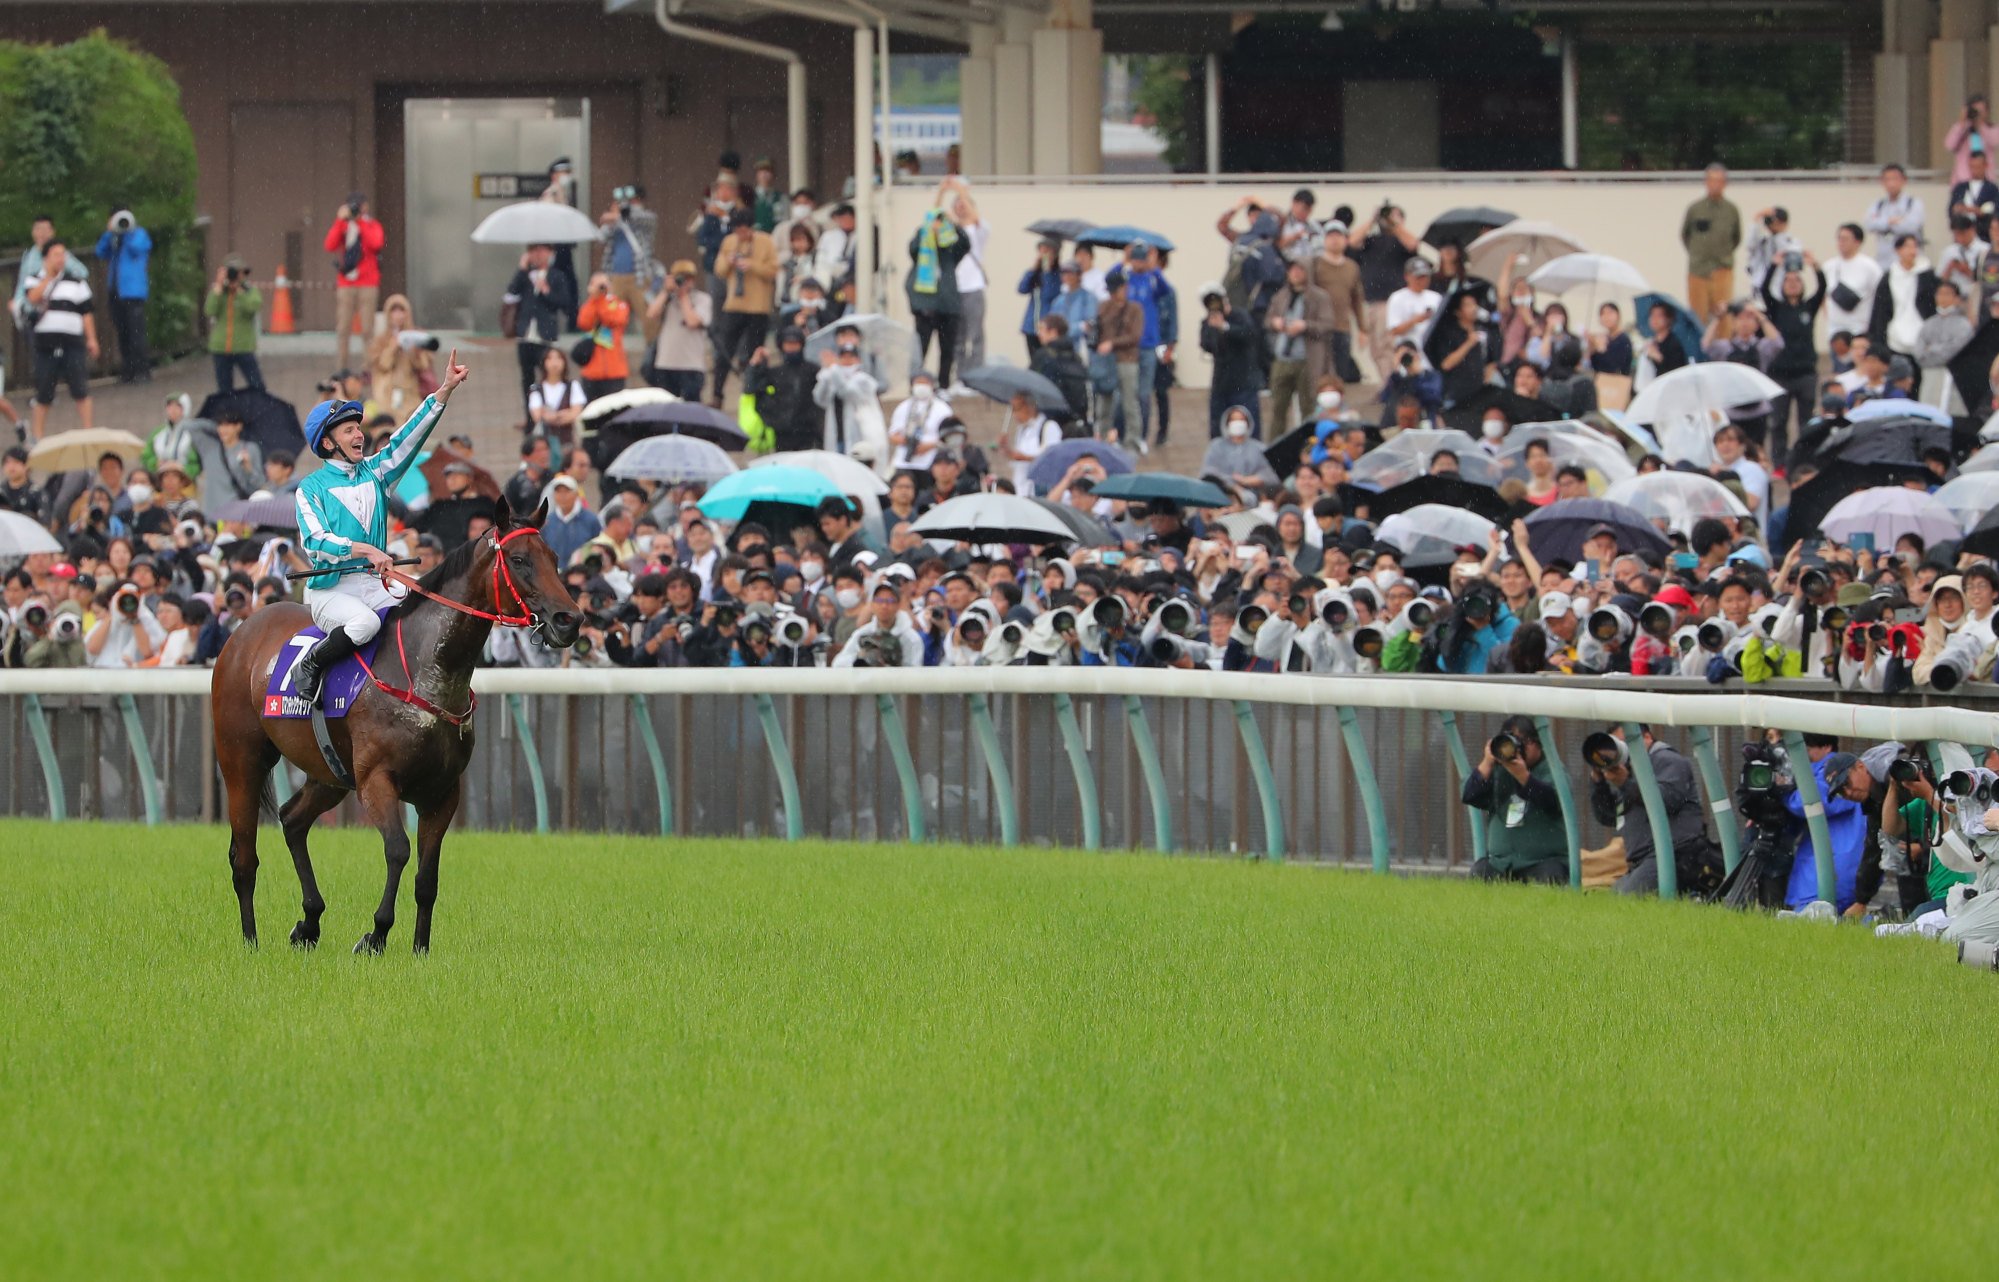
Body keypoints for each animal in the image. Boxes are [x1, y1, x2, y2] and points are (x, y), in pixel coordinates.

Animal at [213, 498, 583, 952]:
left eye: (554, 558)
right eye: (518, 560)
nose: (570, 619)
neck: (425, 673)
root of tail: (243, 629)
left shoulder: (443, 792)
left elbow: (428, 877)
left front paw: (420, 946)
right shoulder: (376, 780)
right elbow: (398, 850)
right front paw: (376, 934)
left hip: (330, 772)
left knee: (293, 819)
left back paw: (309, 923)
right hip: (241, 759)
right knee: (244, 855)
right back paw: (251, 940)